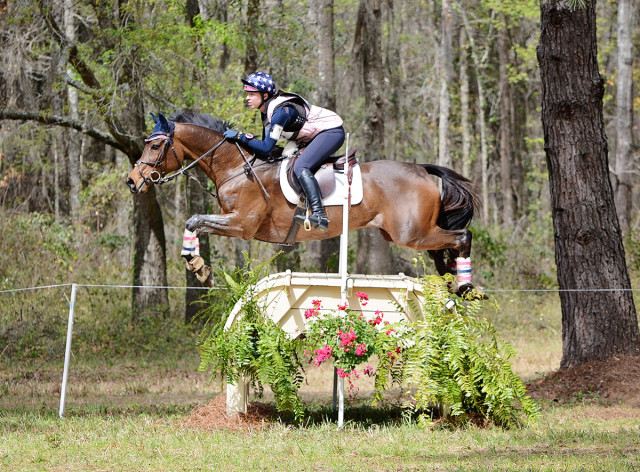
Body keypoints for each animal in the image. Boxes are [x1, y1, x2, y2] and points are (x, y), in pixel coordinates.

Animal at [126, 111, 480, 296]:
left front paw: (200, 269)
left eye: (155, 146)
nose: (132, 181)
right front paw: (200, 267)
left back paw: (464, 287)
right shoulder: (234, 222)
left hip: (411, 234)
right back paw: (452, 282)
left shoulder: (241, 225)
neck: (237, 166)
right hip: (407, 233)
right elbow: (195, 223)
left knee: (463, 236)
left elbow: (194, 220)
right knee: (444, 249)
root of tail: (421, 170)